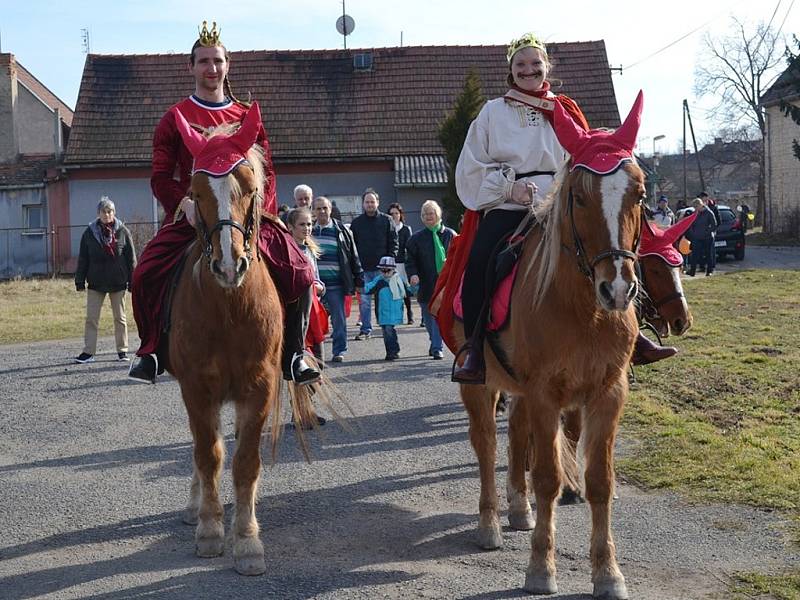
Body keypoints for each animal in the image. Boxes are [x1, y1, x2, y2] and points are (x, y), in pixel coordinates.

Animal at [167, 104, 292, 576]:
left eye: (251, 187)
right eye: (195, 191)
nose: (227, 265)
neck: (229, 307)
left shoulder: (259, 386)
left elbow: (245, 461)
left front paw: (247, 537)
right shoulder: (196, 387)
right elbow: (209, 455)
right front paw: (209, 528)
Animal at [456, 94, 648, 600]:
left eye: (639, 194)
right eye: (578, 196)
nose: (617, 289)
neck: (583, 310)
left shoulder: (607, 393)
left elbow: (599, 482)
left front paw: (608, 572)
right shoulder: (545, 393)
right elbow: (547, 478)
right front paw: (541, 568)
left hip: (520, 390)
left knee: (515, 436)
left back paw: (518, 509)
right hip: (477, 384)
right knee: (487, 444)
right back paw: (490, 524)